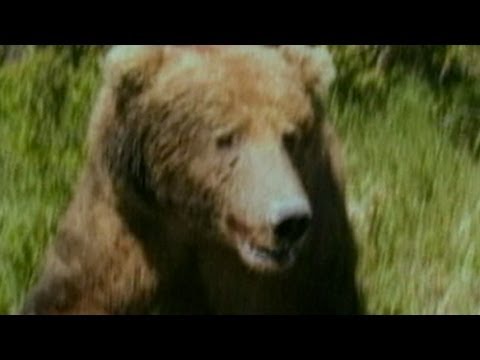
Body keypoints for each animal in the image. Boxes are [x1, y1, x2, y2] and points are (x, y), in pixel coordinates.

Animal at [20, 45, 362, 316]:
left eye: (291, 137)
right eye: (227, 137)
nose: (289, 220)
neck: (195, 220)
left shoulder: (301, 263)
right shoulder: (127, 221)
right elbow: (75, 294)